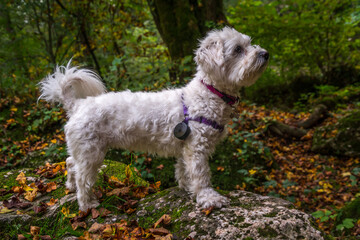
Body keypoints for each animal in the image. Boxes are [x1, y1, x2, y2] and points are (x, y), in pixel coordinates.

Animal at [40, 27, 268, 211]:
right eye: (238, 49)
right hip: (91, 152)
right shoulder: (197, 148)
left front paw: (187, 188)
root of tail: (77, 105)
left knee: (70, 162)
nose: (265, 53)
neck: (206, 95)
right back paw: (87, 203)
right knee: (83, 177)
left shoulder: (184, 147)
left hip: (83, 148)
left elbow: (183, 171)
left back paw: (69, 186)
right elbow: (201, 175)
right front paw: (209, 198)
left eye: (249, 43)